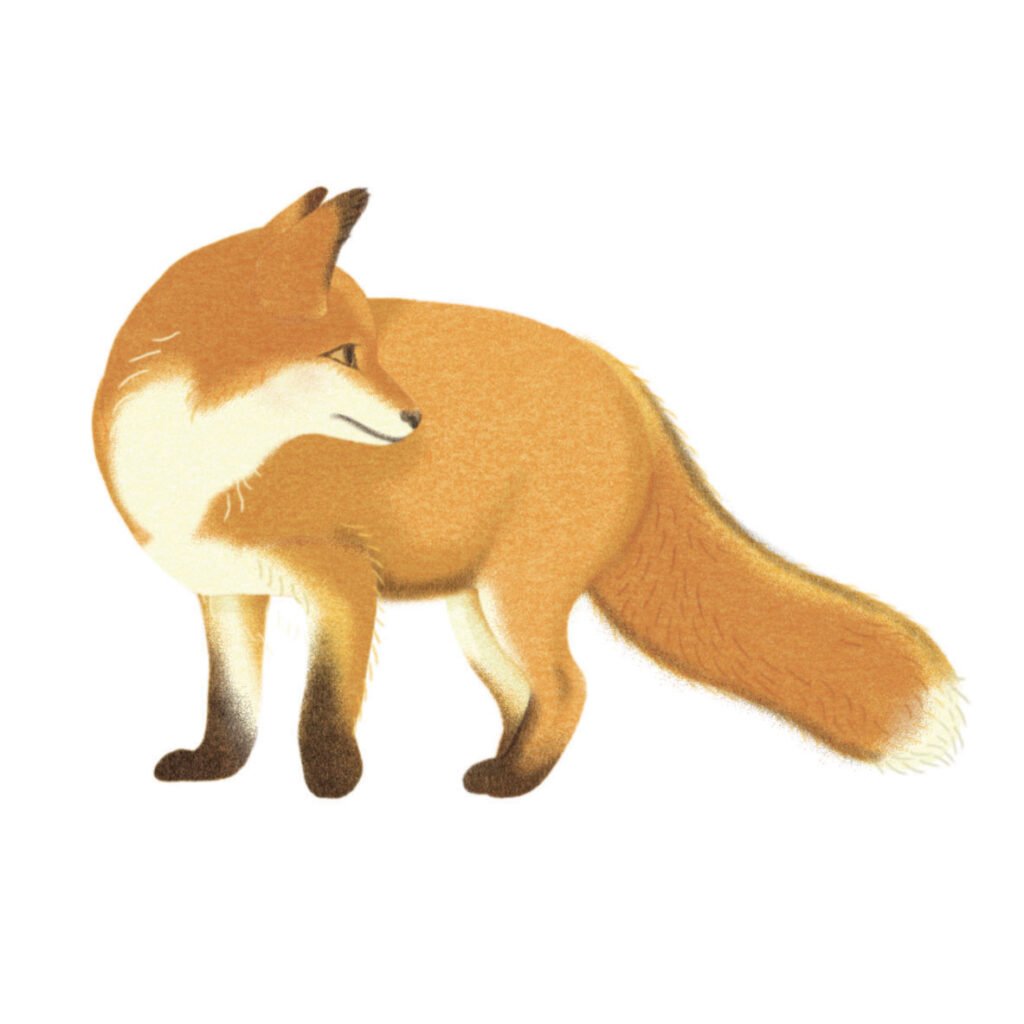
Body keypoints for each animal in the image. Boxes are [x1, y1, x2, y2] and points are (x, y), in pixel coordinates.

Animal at [93, 187, 963, 798]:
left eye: (372, 348)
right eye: (344, 353)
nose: (415, 417)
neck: (198, 459)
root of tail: (622, 379)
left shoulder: (341, 584)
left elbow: (322, 707)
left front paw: (333, 783)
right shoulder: (226, 590)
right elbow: (232, 707)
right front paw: (214, 769)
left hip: (518, 594)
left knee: (569, 688)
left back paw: (513, 785)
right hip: (478, 612)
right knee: (530, 696)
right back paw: (506, 768)